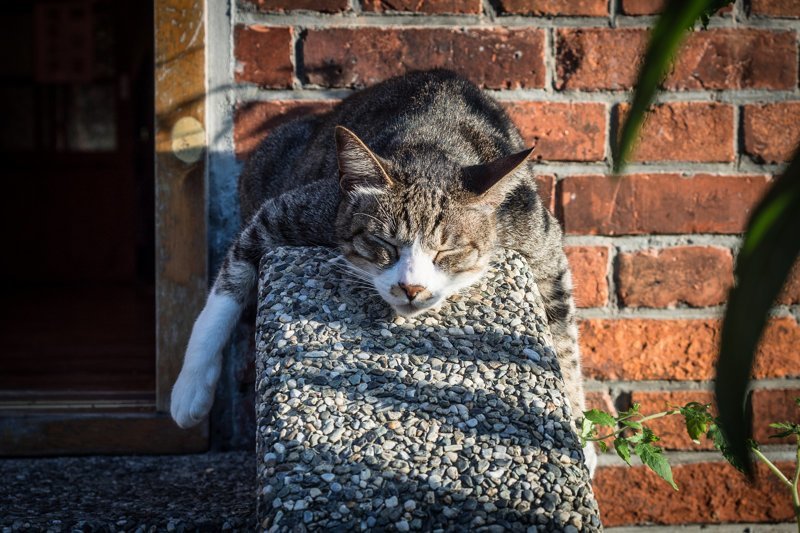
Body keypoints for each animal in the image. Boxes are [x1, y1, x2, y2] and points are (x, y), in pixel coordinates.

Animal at [172, 69, 596, 474]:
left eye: (447, 250)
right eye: (384, 243)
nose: (412, 288)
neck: (433, 146)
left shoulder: (540, 241)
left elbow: (564, 340)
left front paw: (579, 434)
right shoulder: (299, 209)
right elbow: (229, 281)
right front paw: (190, 388)